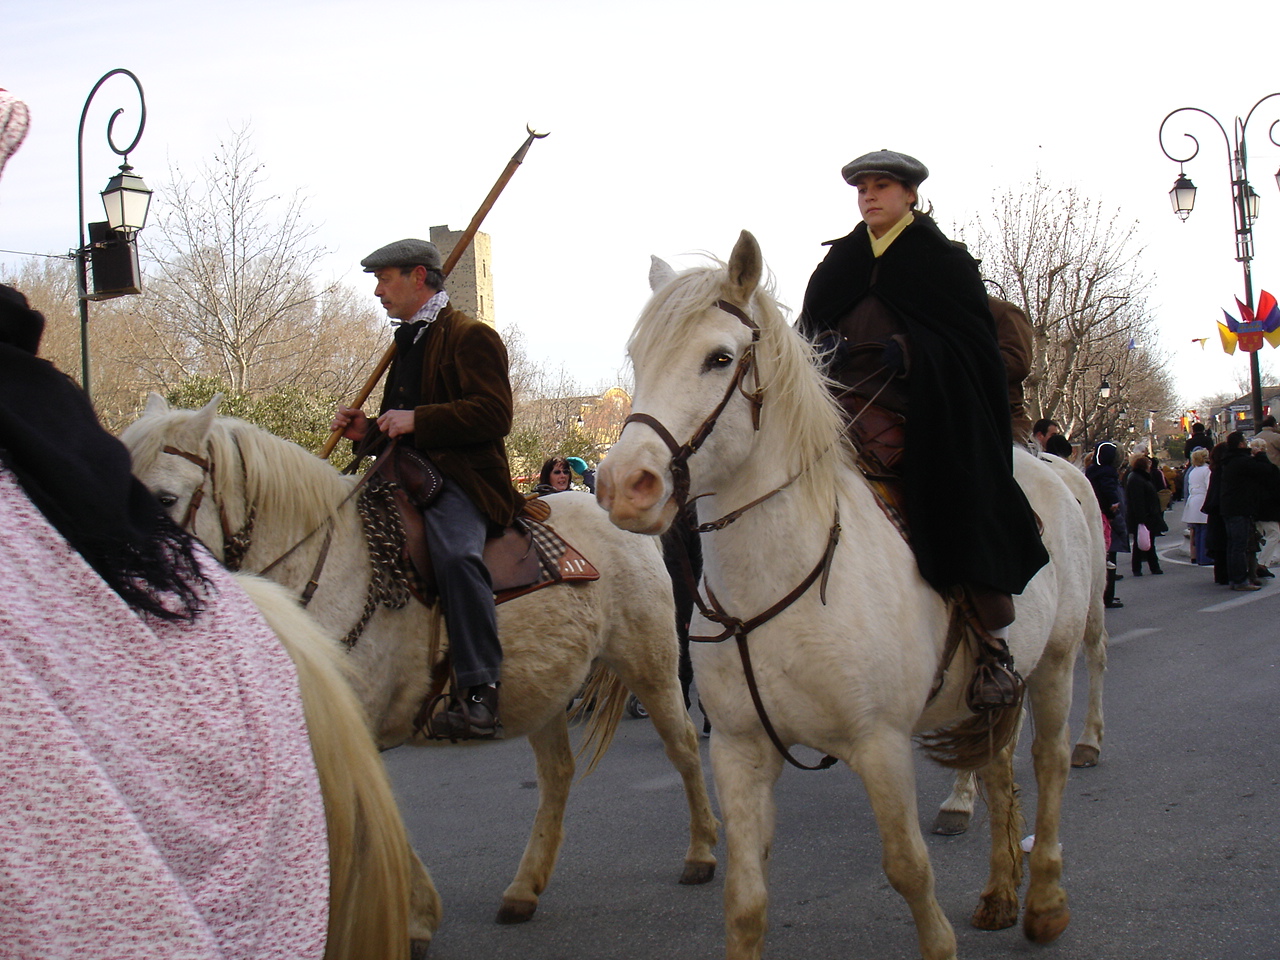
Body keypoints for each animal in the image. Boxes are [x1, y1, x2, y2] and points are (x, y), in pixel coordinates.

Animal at [120, 401, 721, 936]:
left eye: (166, 497)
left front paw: (413, 916)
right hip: (547, 686)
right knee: (556, 776)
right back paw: (524, 889)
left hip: (649, 660)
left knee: (682, 746)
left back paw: (702, 851)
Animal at [593, 232, 1105, 960]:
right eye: (639, 359)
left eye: (719, 358)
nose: (622, 486)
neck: (778, 579)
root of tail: (1051, 468)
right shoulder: (739, 752)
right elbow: (745, 902)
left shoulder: (879, 743)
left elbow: (909, 869)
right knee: (999, 768)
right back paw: (1001, 893)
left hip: (1058, 661)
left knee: (1050, 762)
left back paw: (1044, 902)